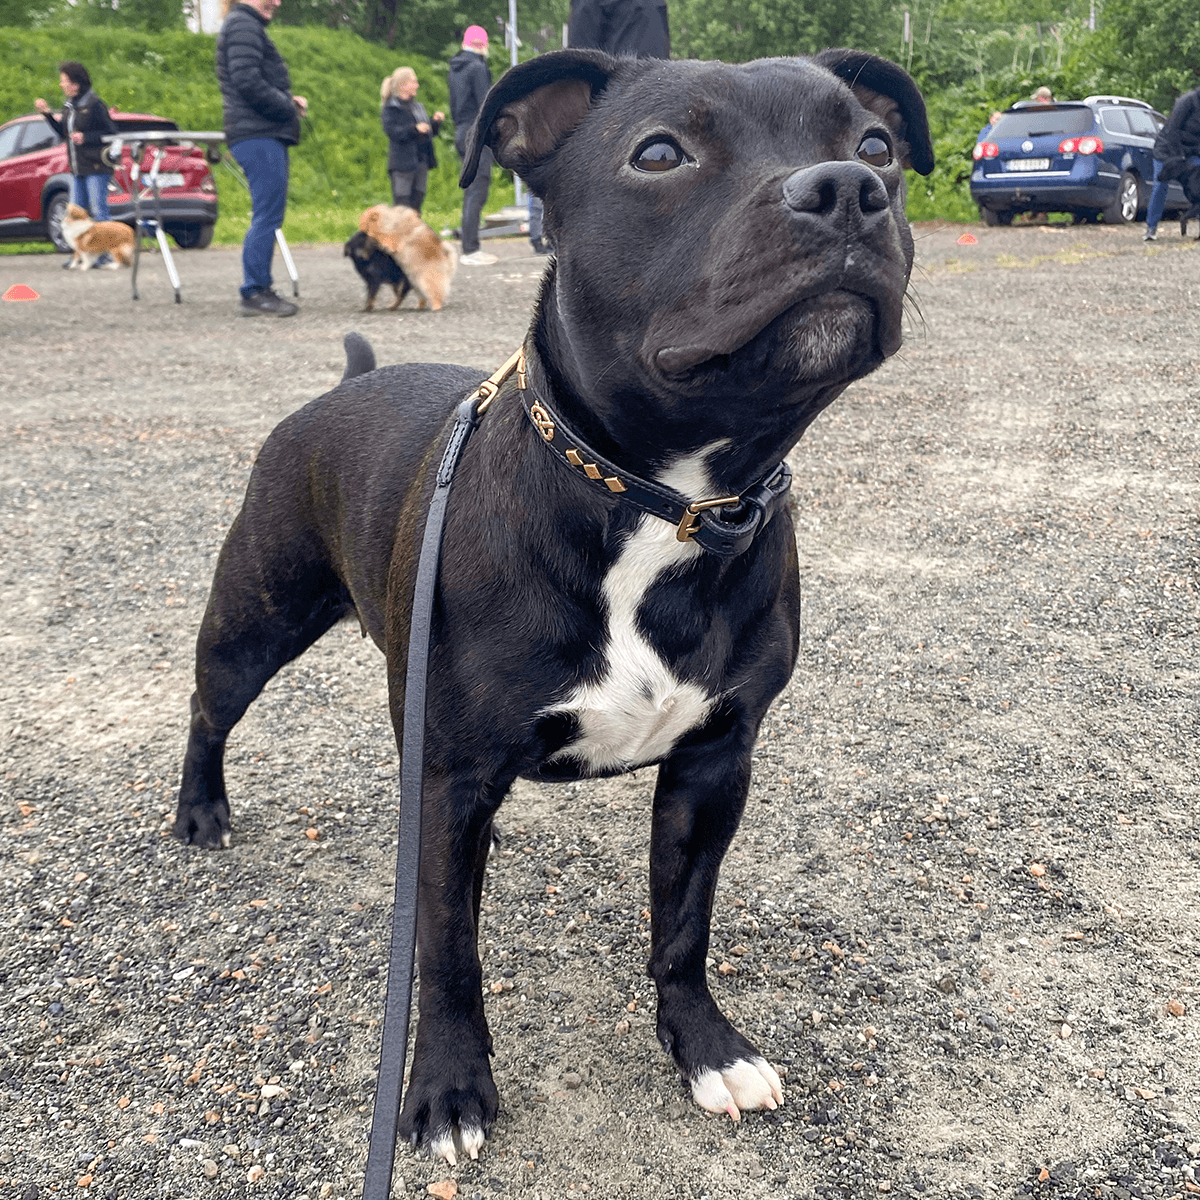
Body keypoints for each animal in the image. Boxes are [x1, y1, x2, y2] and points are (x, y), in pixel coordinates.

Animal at [174, 46, 931, 1161]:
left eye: (876, 144)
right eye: (659, 154)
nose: (846, 188)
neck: (668, 499)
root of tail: (343, 384)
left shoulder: (715, 762)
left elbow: (683, 925)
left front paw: (706, 1047)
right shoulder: (446, 781)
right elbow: (446, 952)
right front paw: (447, 1089)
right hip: (254, 618)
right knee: (207, 709)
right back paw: (201, 811)